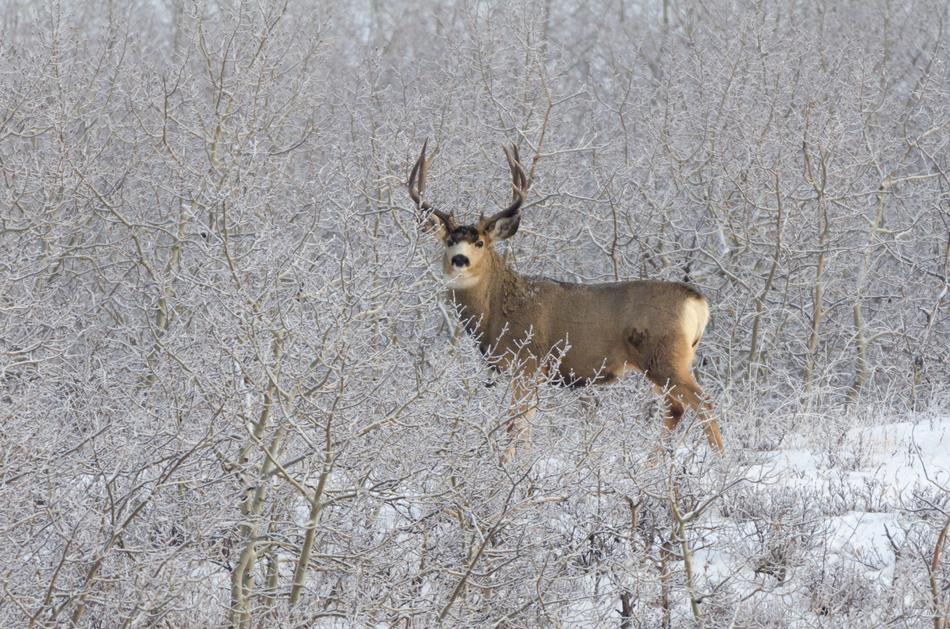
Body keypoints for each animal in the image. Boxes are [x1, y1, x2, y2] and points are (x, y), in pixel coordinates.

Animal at [408, 141, 724, 459]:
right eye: (449, 241)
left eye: (480, 242)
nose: (459, 259)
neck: (498, 311)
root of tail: (698, 301)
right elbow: (527, 425)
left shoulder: (528, 361)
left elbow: (515, 424)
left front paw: (508, 466)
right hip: (662, 362)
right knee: (675, 408)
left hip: (666, 356)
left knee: (704, 404)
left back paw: (718, 463)